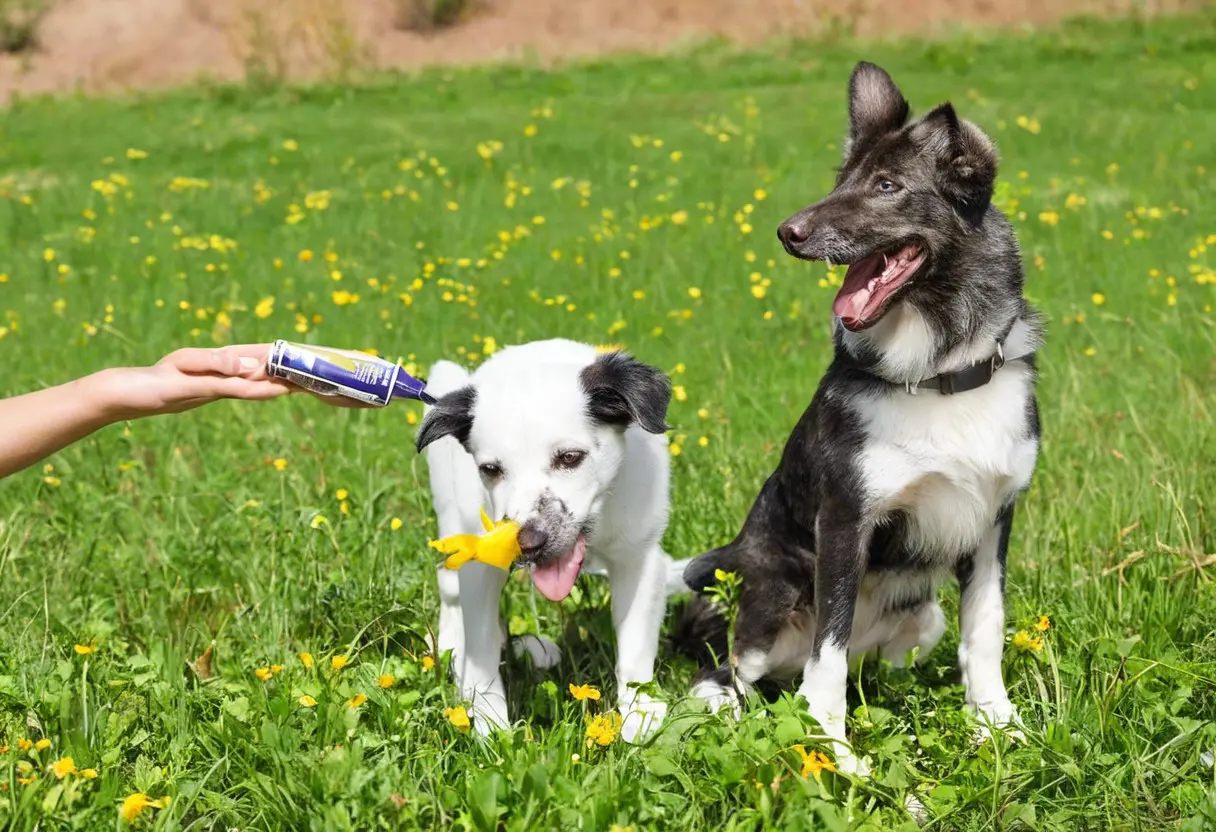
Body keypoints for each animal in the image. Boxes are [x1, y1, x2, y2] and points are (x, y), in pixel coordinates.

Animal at [415, 338, 685, 739]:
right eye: (490, 469)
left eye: (570, 457)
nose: (527, 543)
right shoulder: (482, 563)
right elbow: (480, 648)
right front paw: (488, 719)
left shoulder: (640, 557)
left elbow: (635, 648)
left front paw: (639, 710)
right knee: (450, 593)